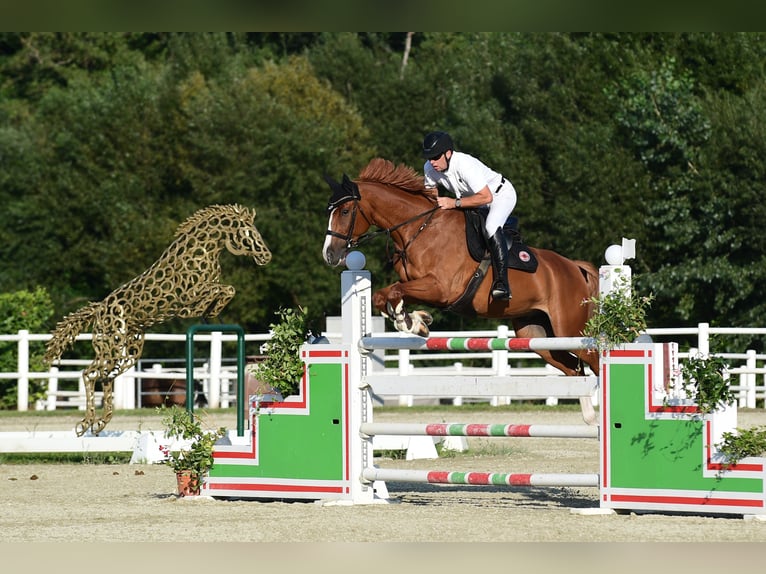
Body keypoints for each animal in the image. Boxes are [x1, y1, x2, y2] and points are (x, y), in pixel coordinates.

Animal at [320, 160, 604, 380]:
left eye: (345, 211)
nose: (329, 255)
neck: (419, 229)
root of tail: (575, 269)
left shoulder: (441, 289)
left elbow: (393, 292)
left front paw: (412, 322)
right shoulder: (419, 286)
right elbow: (385, 295)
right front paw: (414, 322)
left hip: (569, 330)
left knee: (594, 359)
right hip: (536, 333)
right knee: (573, 369)